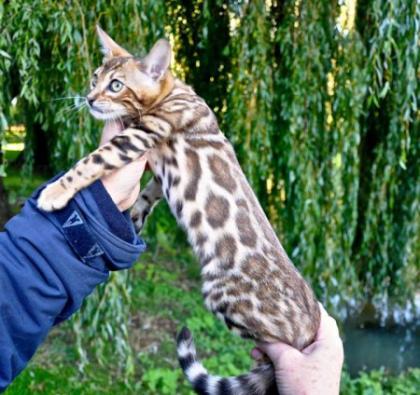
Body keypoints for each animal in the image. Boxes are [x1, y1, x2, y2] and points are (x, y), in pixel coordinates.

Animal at [39, 27, 320, 395]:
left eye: (115, 85)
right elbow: (148, 193)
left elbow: (91, 162)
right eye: (93, 78)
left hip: (221, 295)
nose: (88, 98)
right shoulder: (155, 168)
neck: (174, 91)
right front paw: (132, 219)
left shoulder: (142, 135)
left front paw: (55, 192)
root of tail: (311, 330)